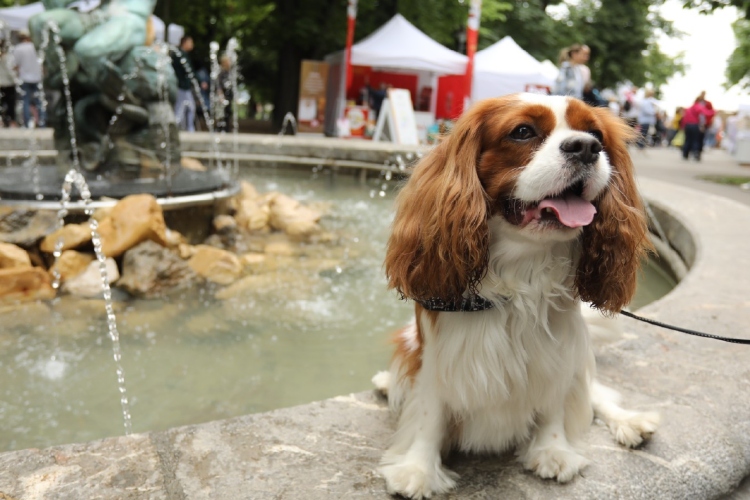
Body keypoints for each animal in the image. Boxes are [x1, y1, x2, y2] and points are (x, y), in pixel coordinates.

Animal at [374, 93, 660, 496]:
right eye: (523, 132)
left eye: (596, 135)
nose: (587, 147)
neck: (521, 272)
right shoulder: (439, 357)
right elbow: (429, 413)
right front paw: (418, 469)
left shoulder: (559, 355)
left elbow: (555, 404)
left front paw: (553, 450)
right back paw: (387, 383)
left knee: (597, 395)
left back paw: (630, 421)